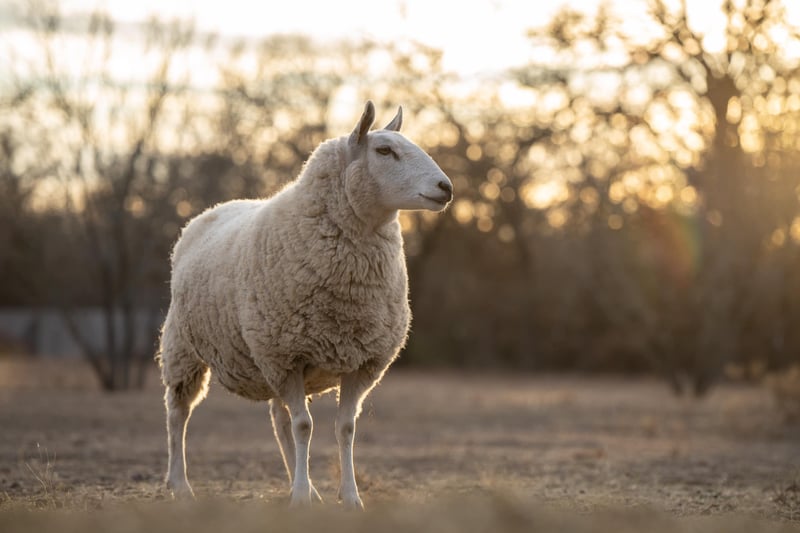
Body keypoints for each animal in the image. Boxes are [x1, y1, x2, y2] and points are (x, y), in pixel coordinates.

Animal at [158, 101, 453, 509]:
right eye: (384, 151)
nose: (446, 188)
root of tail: (214, 209)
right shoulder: (287, 355)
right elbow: (304, 426)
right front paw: (300, 498)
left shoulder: (360, 361)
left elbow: (344, 428)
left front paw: (348, 497)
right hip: (184, 349)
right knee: (177, 414)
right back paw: (180, 484)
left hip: (264, 360)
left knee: (278, 419)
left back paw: (307, 486)